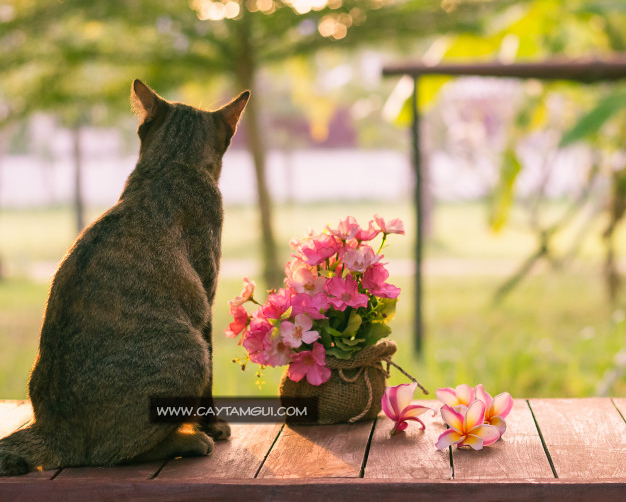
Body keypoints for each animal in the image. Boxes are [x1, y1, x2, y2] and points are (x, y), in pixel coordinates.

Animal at [0, 79, 247, 474]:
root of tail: (52, 428)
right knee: (112, 455)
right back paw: (189, 440)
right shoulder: (206, 299)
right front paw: (213, 425)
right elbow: (210, 384)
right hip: (189, 352)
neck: (170, 164)